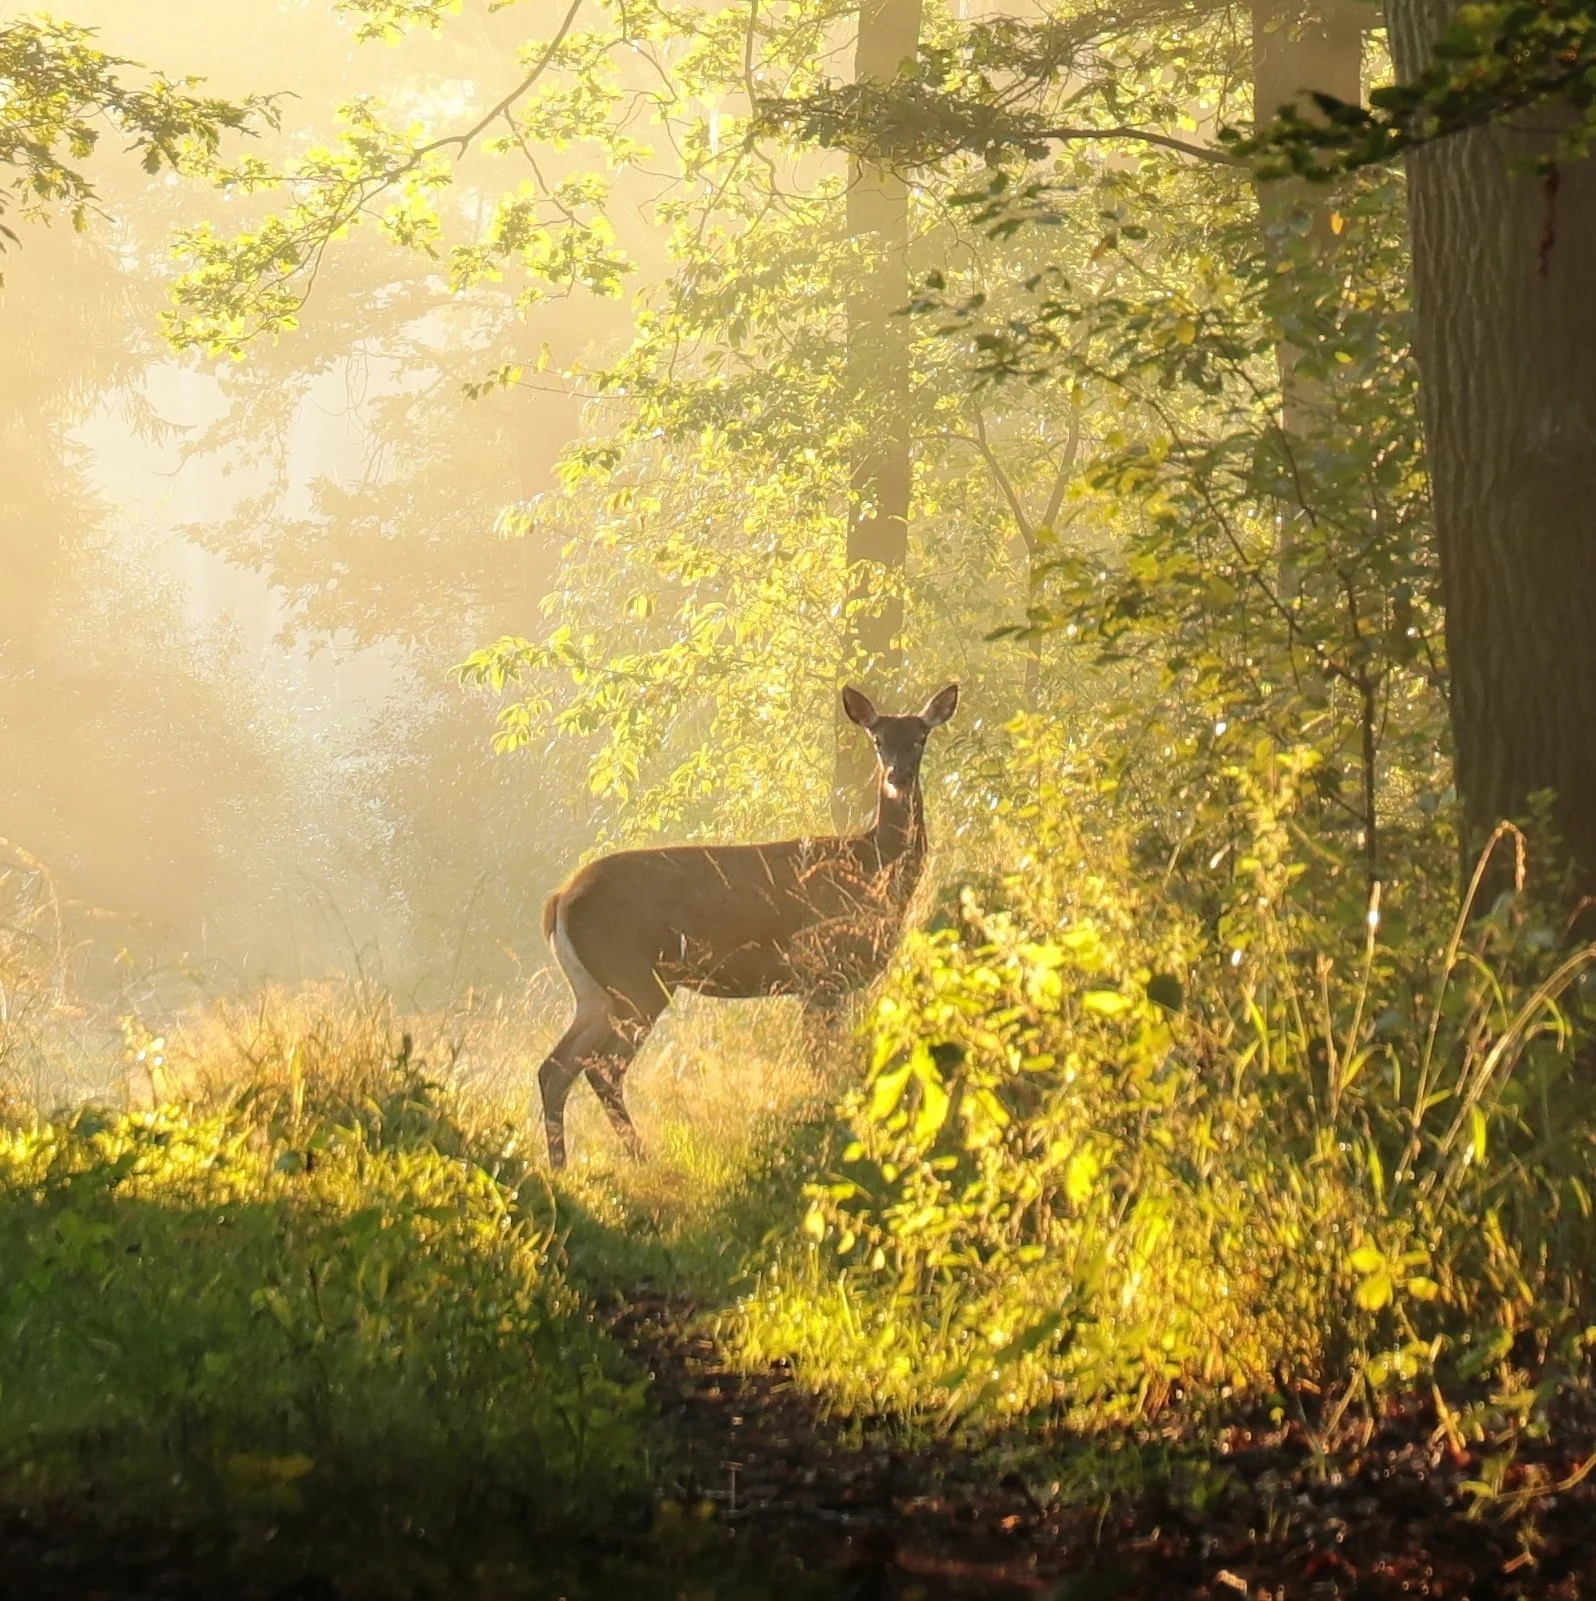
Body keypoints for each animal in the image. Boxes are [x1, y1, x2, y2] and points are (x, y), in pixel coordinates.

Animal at [534, 682, 959, 1168]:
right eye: (877, 739)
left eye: (921, 737)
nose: (897, 776)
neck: (873, 867)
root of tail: (558, 900)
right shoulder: (818, 970)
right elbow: (821, 1063)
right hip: (634, 980)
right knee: (601, 1068)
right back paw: (640, 1158)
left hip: (595, 992)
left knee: (556, 1067)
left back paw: (562, 1168)